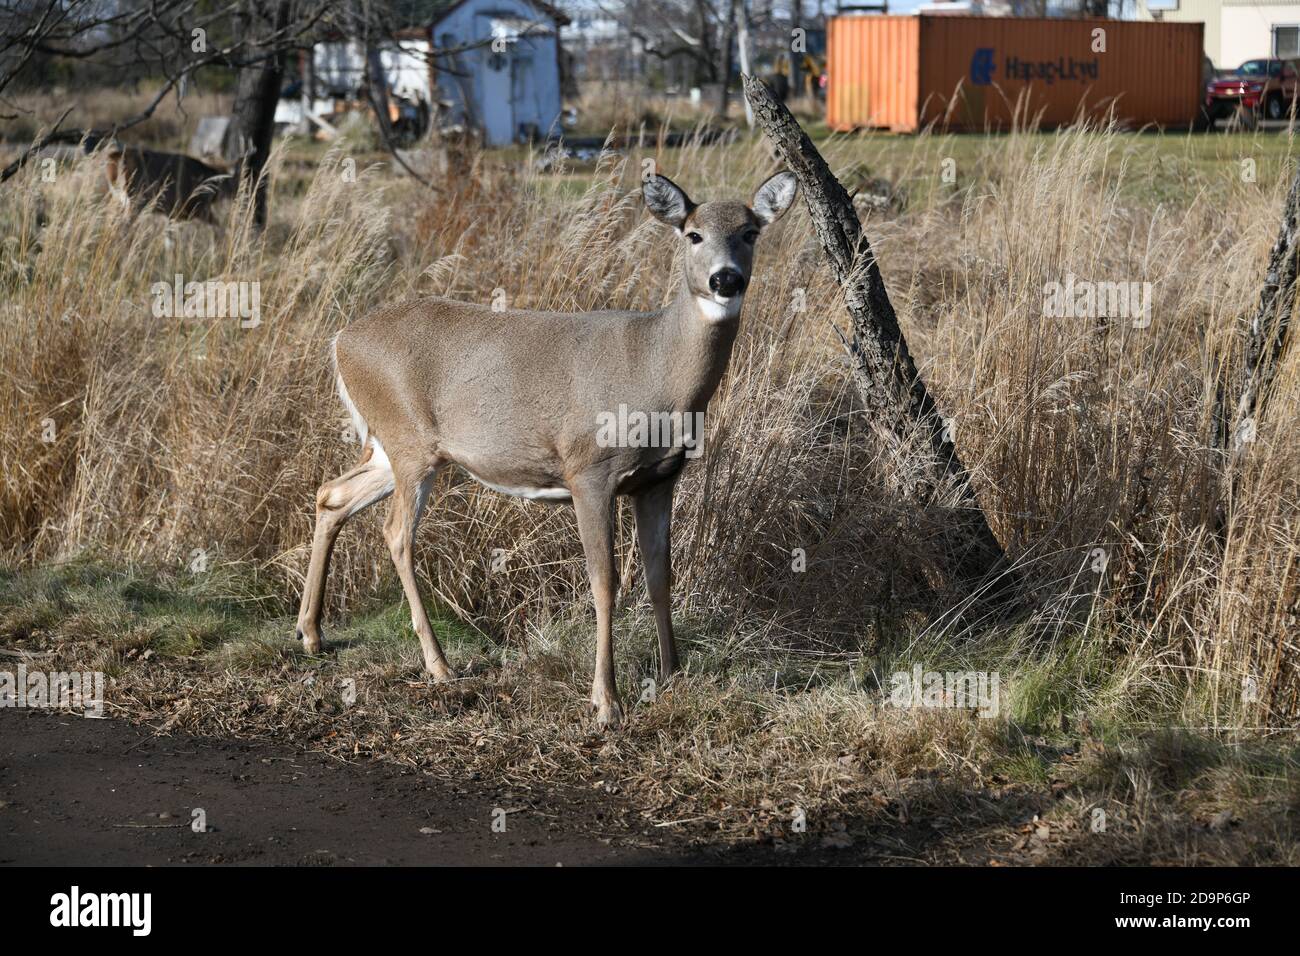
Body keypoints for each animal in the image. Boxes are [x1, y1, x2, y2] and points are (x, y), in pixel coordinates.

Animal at [296, 171, 795, 723]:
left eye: (750, 232)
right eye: (693, 234)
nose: (725, 279)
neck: (656, 370)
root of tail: (339, 340)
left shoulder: (659, 479)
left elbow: (660, 576)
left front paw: (672, 675)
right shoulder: (589, 470)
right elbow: (605, 583)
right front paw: (606, 701)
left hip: (392, 448)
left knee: (331, 495)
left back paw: (311, 634)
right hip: (409, 444)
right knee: (396, 534)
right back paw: (438, 664)